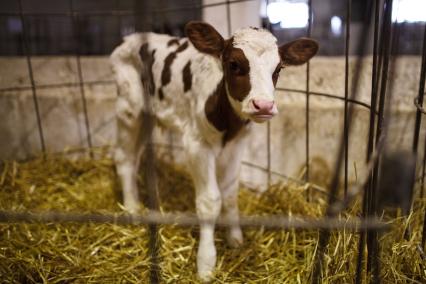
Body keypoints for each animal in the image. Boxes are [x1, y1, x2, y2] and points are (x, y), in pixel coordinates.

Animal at [111, 21, 318, 280]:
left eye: (278, 68)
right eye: (234, 64)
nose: (263, 105)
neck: (228, 123)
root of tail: (130, 38)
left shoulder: (237, 145)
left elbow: (229, 194)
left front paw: (235, 238)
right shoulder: (197, 144)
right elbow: (210, 201)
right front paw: (206, 263)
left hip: (147, 117)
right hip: (128, 110)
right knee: (124, 158)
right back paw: (131, 209)